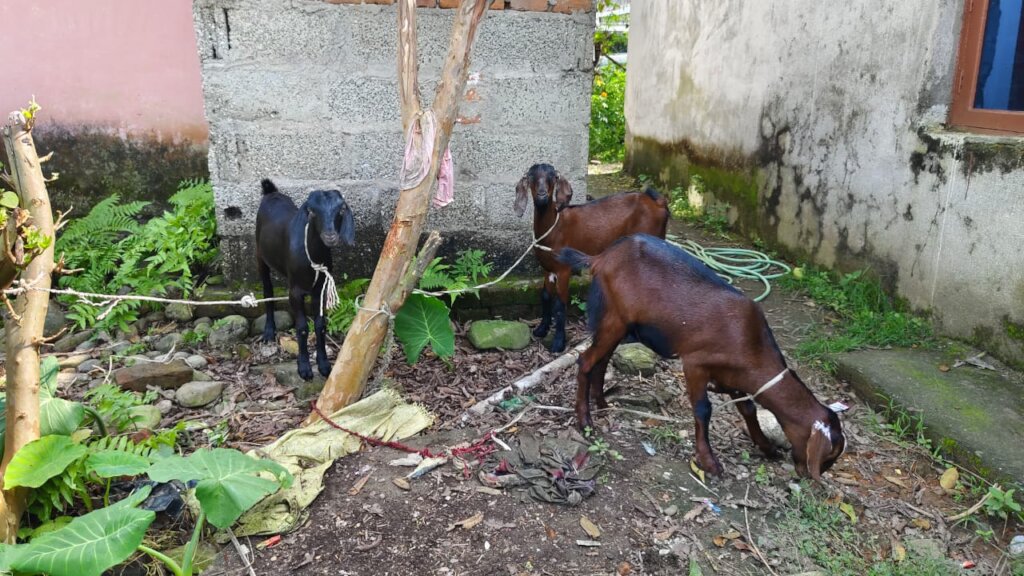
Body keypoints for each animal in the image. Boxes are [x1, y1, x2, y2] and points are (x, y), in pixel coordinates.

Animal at [256, 179, 355, 380]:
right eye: (312, 211)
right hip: (260, 254)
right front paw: (304, 368)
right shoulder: (295, 291)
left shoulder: (320, 289)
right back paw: (269, 331)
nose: (330, 236)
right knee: (267, 289)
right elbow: (301, 327)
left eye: (341, 209)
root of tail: (271, 192)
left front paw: (324, 365)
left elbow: (320, 325)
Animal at [514, 163, 668, 353]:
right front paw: (541, 329)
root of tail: (659, 203)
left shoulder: (564, 269)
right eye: (531, 176)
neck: (555, 227)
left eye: (553, 176)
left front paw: (558, 343)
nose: (542, 195)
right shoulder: (548, 268)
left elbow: (560, 304)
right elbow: (545, 296)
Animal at [558, 234, 845, 480]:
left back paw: (602, 403)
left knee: (602, 360)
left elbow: (748, 407)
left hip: (620, 322)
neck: (750, 340)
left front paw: (766, 446)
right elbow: (703, 409)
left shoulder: (732, 374)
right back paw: (584, 420)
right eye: (829, 455)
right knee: (586, 360)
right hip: (615, 317)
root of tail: (601, 257)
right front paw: (709, 462)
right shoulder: (695, 363)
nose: (810, 475)